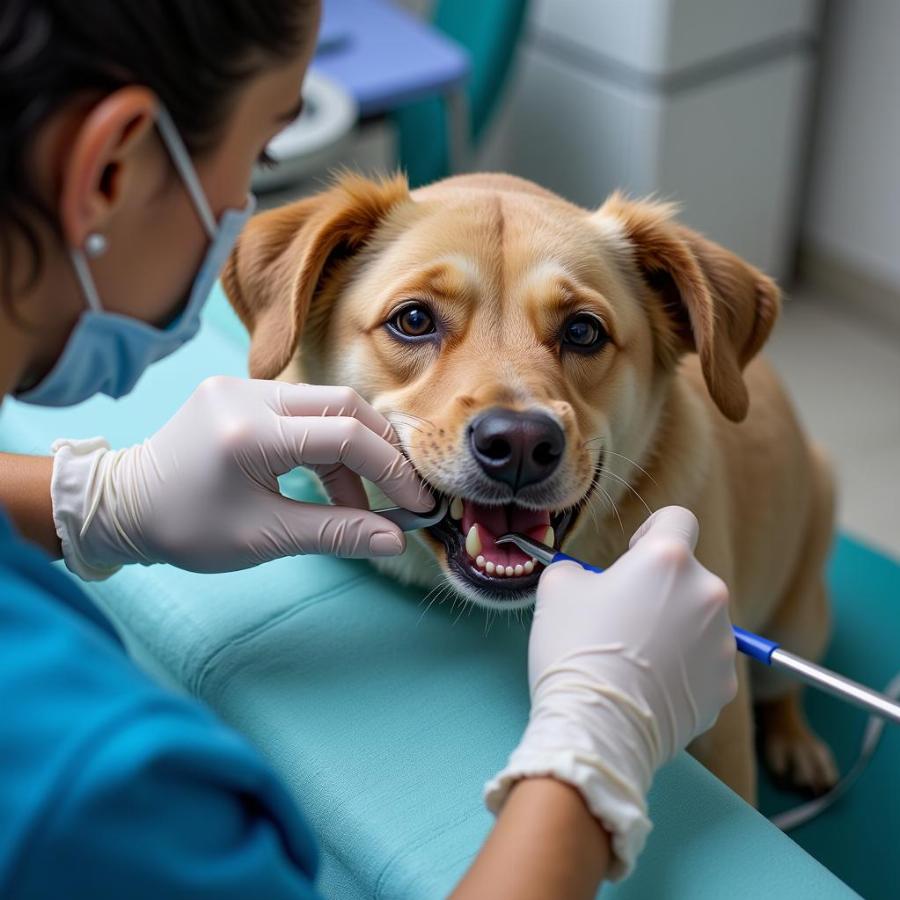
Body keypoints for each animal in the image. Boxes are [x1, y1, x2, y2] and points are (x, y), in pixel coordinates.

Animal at [221, 174, 840, 800]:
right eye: (414, 320)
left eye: (583, 330)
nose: (519, 443)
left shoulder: (727, 735)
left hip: (799, 615)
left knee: (785, 687)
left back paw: (798, 742)